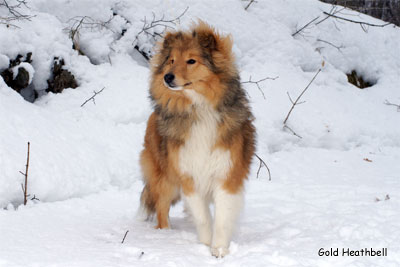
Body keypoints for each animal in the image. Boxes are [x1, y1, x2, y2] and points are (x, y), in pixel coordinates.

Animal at [139, 21, 255, 258]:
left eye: (191, 61)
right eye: (172, 60)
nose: (167, 77)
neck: (199, 108)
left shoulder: (226, 175)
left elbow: (222, 218)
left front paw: (219, 249)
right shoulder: (188, 176)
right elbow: (202, 217)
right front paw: (204, 245)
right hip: (165, 178)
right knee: (161, 208)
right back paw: (164, 235)